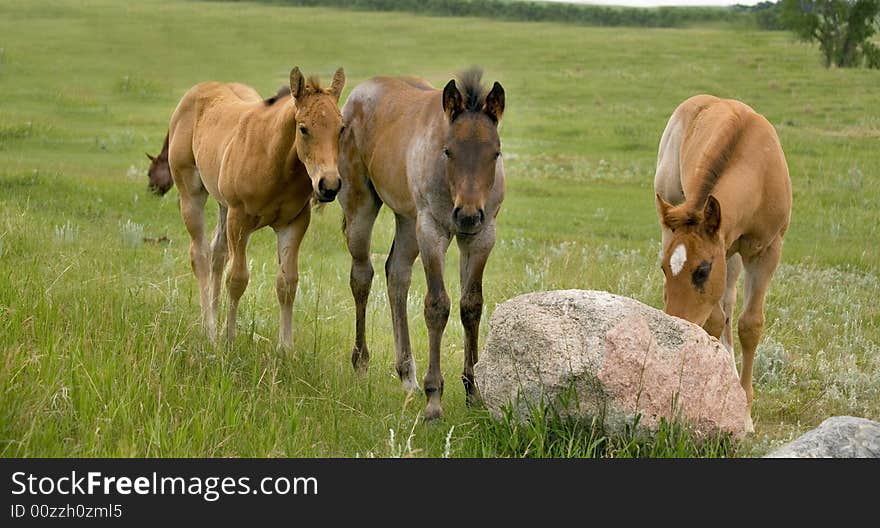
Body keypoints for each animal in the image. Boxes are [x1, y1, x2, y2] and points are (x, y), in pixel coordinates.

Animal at [167, 68, 346, 348]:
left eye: (342, 128)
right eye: (303, 128)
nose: (328, 185)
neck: (276, 161)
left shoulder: (294, 222)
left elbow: (287, 282)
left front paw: (286, 348)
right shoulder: (239, 218)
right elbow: (237, 278)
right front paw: (229, 340)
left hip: (223, 205)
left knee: (218, 252)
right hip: (192, 194)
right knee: (201, 254)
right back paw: (210, 330)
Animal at [336, 69, 502, 420]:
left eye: (495, 152)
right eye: (448, 151)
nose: (467, 215)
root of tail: (359, 91)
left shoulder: (482, 236)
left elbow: (471, 306)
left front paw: (474, 393)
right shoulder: (432, 230)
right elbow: (437, 306)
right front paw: (434, 401)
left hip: (407, 220)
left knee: (396, 274)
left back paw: (407, 376)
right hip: (361, 207)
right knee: (362, 276)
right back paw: (361, 363)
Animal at [652, 95, 792, 408]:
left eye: (702, 270)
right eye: (664, 269)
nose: (677, 326)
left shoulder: (767, 252)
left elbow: (750, 324)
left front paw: (746, 407)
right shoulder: (722, 247)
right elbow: (714, 321)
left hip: (734, 256)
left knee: (729, 302)